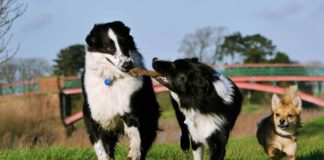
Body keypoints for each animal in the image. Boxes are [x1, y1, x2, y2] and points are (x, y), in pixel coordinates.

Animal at [83, 21, 160, 160]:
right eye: (109, 48)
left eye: (125, 44)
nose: (127, 64)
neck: (111, 79)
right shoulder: (92, 116)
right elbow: (99, 145)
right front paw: (104, 157)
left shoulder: (130, 108)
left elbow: (135, 135)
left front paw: (133, 152)